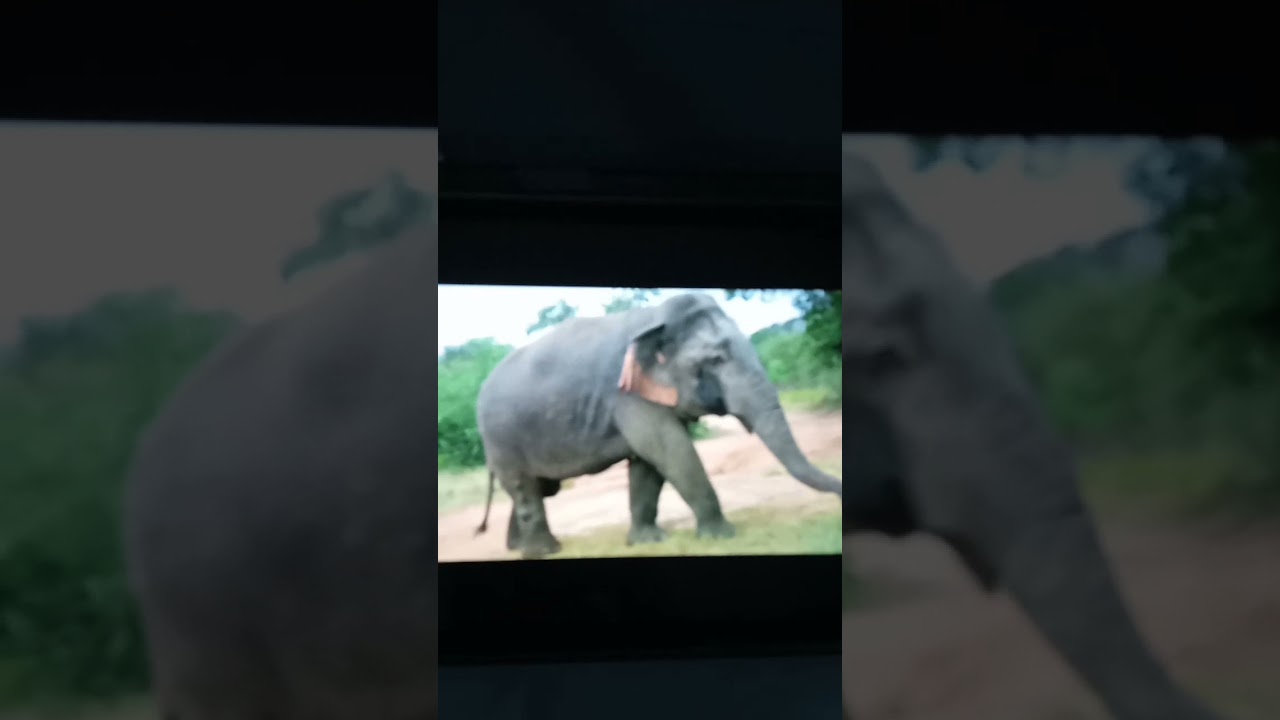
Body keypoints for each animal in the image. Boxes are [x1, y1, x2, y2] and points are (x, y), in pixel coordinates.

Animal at [473, 292, 843, 558]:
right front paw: (721, 536)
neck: (657, 318)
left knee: (540, 488)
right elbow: (670, 449)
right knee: (524, 486)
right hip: (502, 438)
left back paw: (518, 548)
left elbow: (648, 465)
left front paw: (648, 542)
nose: (840, 499)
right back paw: (543, 552)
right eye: (716, 359)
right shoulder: (627, 395)